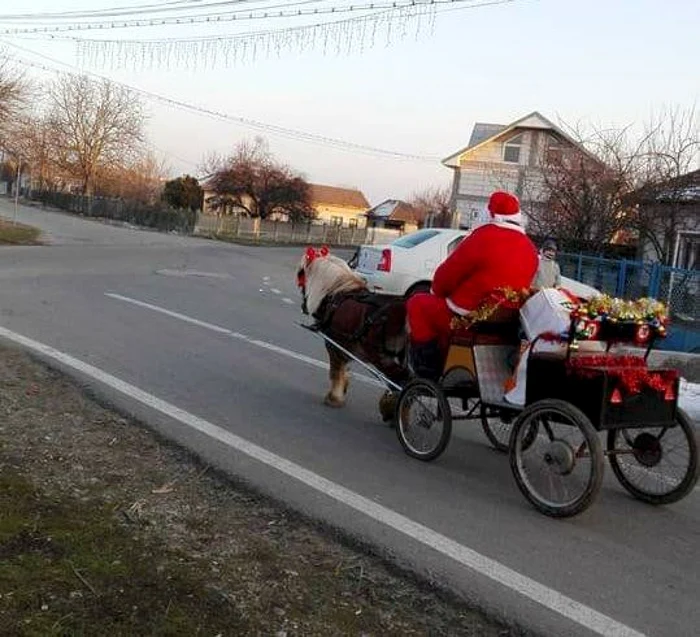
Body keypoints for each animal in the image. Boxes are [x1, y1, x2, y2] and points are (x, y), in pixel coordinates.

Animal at [296, 246, 410, 410]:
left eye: (301, 274)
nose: (303, 306)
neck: (336, 291)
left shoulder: (333, 344)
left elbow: (336, 371)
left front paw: (335, 397)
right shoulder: (345, 347)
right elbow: (344, 370)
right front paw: (342, 389)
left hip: (383, 359)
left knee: (403, 383)